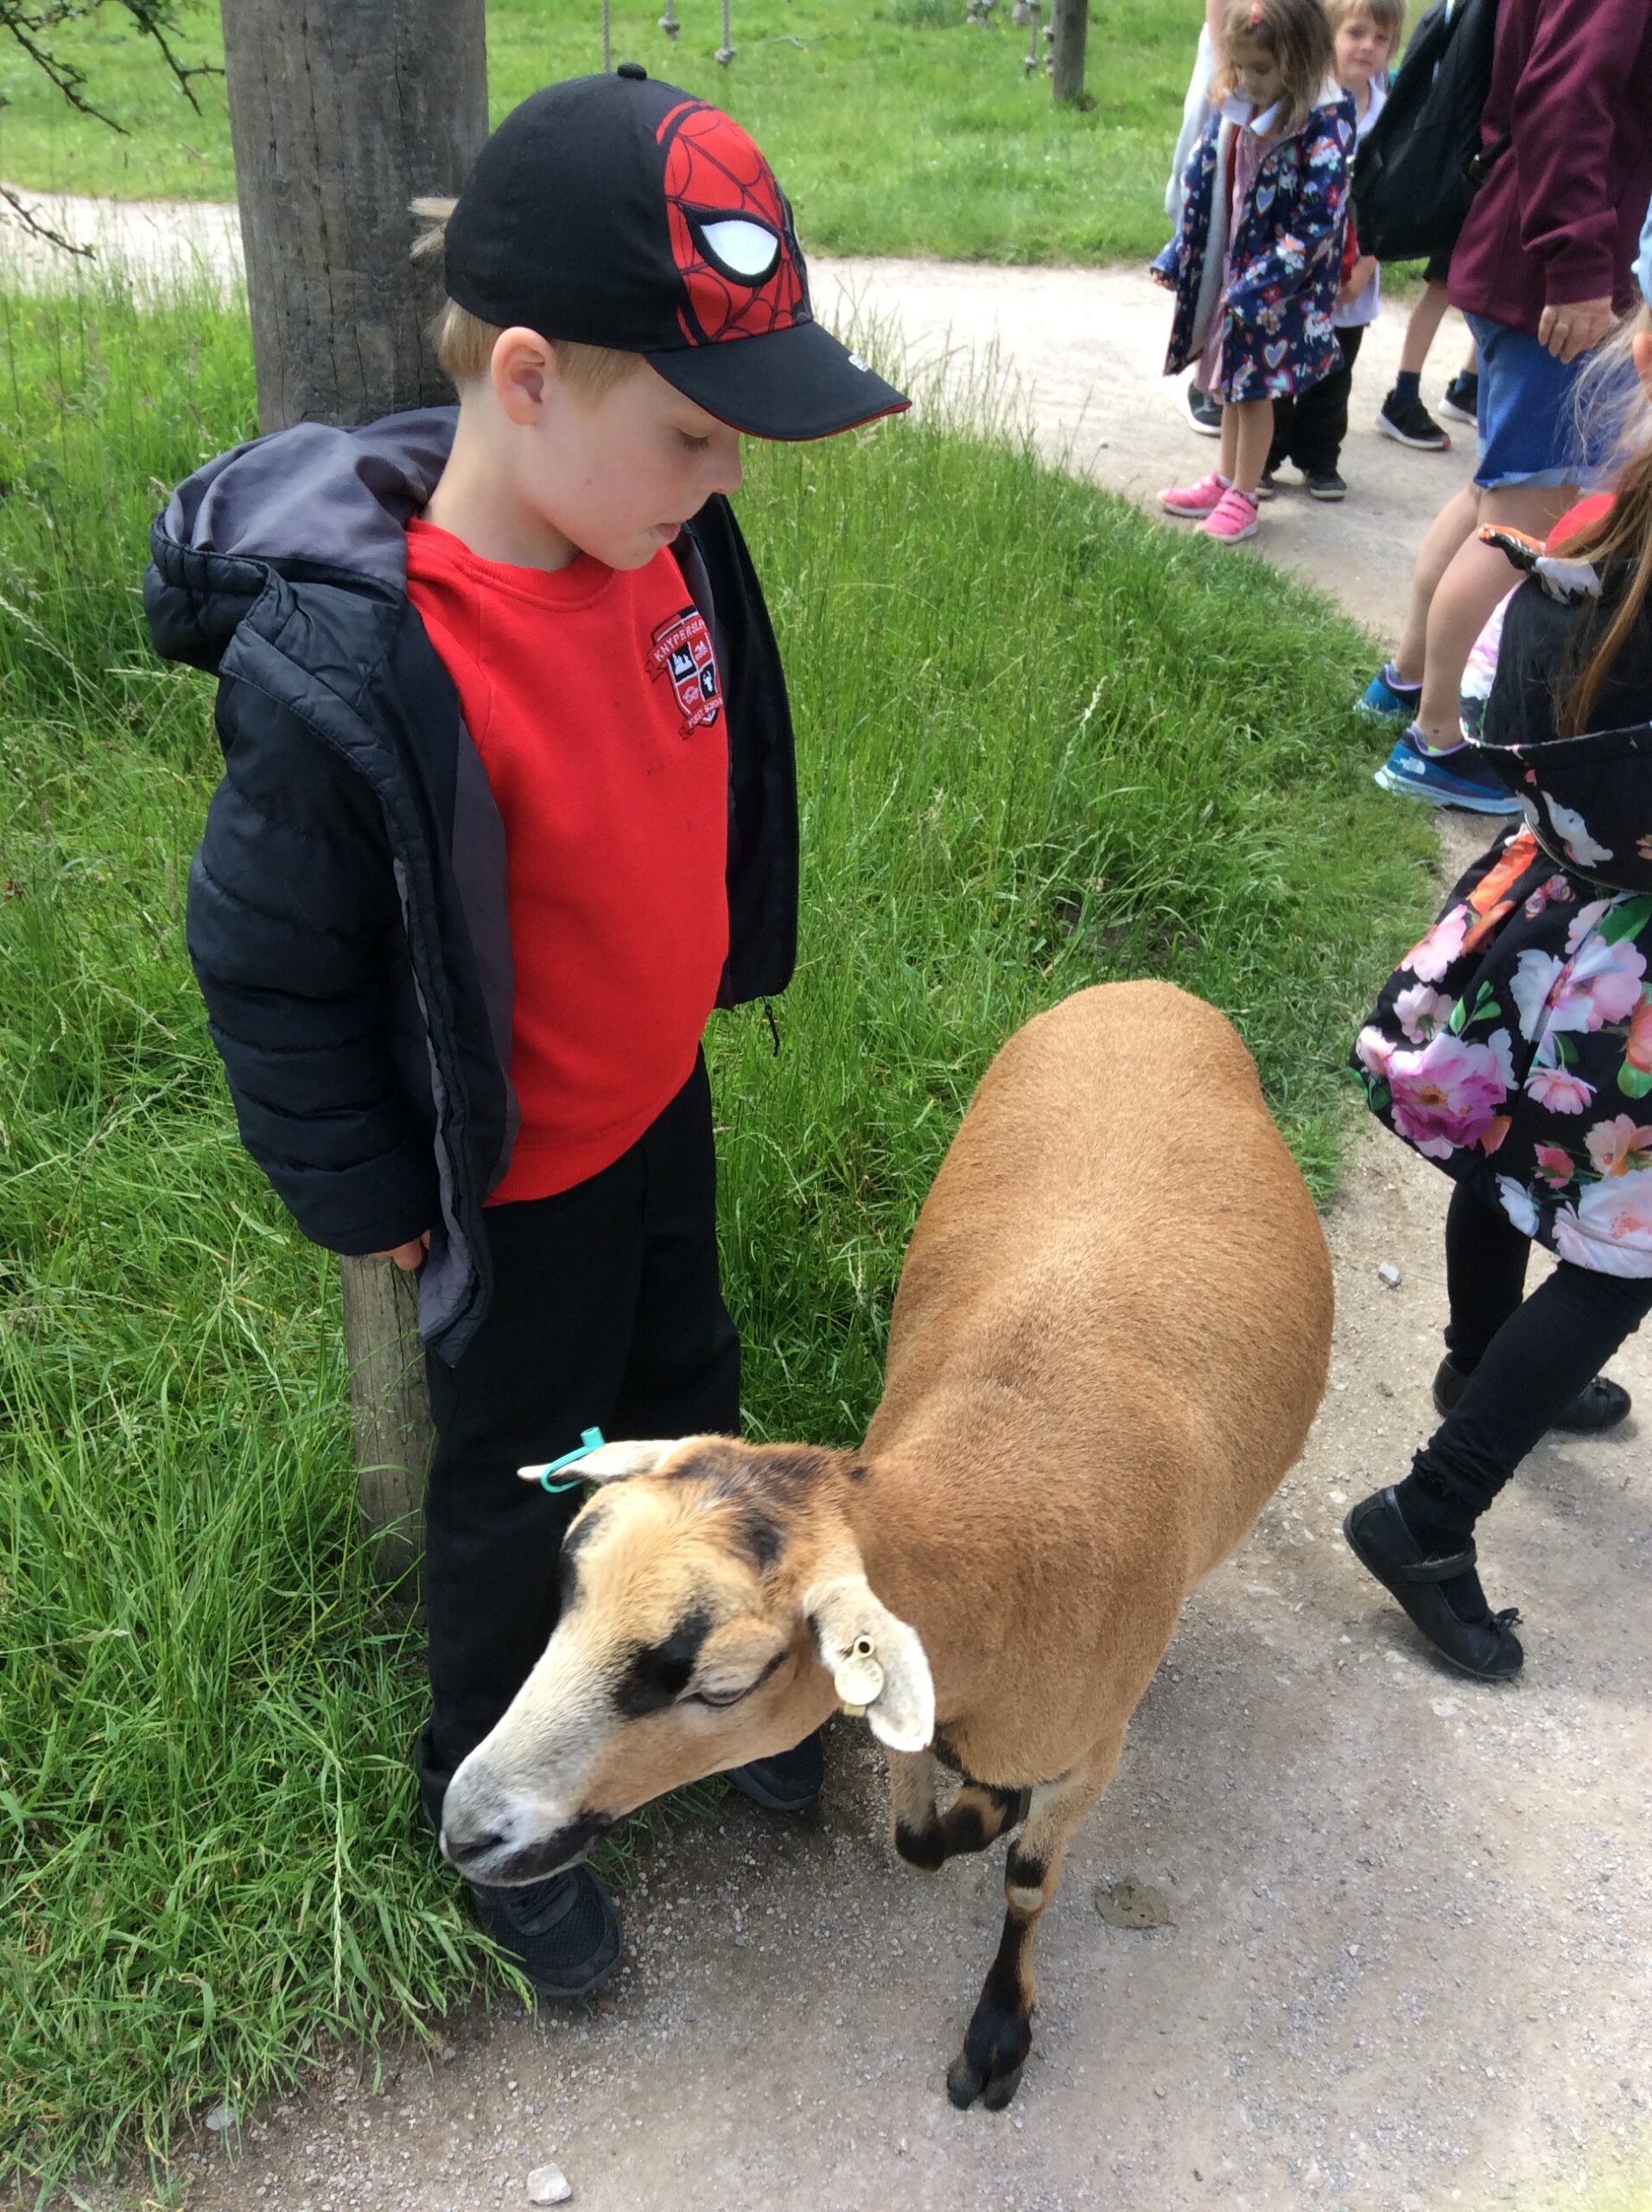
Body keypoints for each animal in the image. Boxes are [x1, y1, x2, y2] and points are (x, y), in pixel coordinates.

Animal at [439, 980, 1334, 2109]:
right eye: (566, 1584)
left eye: (725, 1685)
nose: (463, 1829)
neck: (997, 1516)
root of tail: (1150, 990)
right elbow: (915, 1837)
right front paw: (972, 1811)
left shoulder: (1089, 1750)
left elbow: (1028, 1878)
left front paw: (998, 2031)